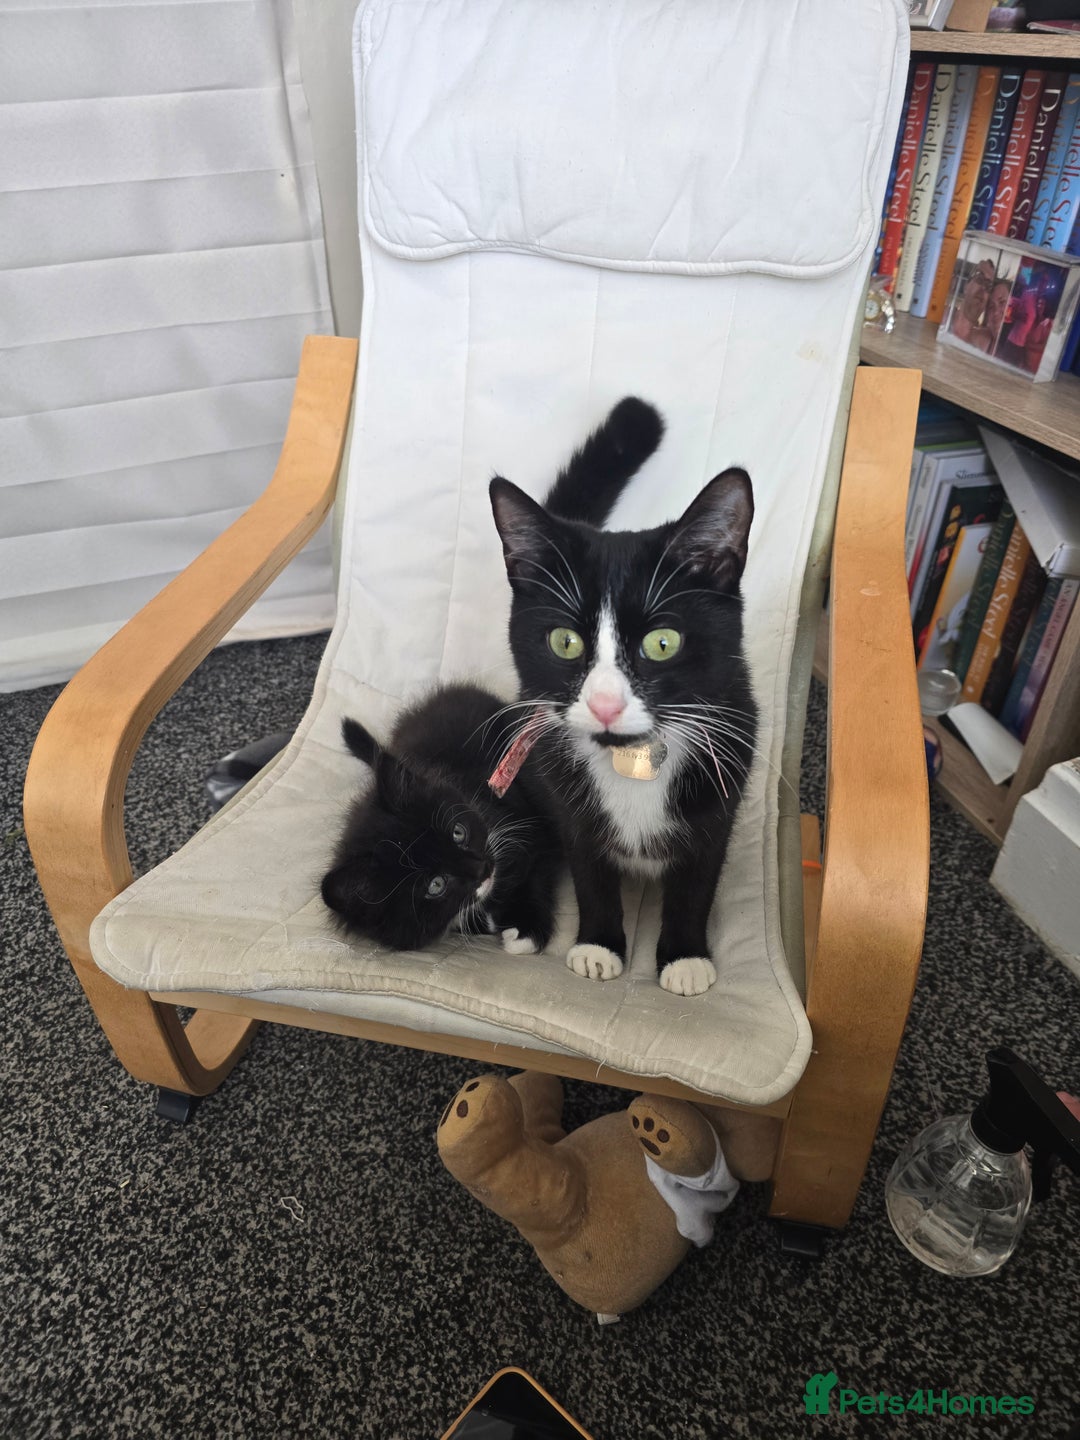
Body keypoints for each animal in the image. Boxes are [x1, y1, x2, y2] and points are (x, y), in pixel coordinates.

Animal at [321, 395, 665, 953]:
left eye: (458, 833)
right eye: (435, 886)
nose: (479, 865)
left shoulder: (525, 816)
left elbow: (541, 863)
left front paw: (526, 924)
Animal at [489, 440, 757, 997]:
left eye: (663, 643)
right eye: (564, 641)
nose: (605, 704)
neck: (630, 759)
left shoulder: (722, 787)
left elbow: (697, 880)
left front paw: (685, 957)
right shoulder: (567, 798)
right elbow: (589, 872)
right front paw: (598, 946)